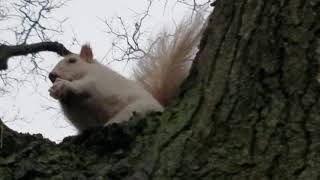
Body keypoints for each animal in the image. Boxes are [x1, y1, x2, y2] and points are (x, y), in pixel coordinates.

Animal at [48, 14, 204, 132]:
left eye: (72, 61)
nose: (51, 75)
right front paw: (55, 91)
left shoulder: (100, 81)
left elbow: (86, 86)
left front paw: (63, 85)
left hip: (135, 110)